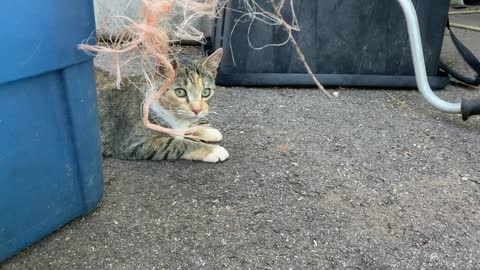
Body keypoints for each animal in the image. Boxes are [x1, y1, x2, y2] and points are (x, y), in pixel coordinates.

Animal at [96, 48, 230, 162]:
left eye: (206, 92)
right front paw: (213, 150)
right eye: (180, 92)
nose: (197, 110)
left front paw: (207, 131)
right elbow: (176, 144)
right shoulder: (132, 143)